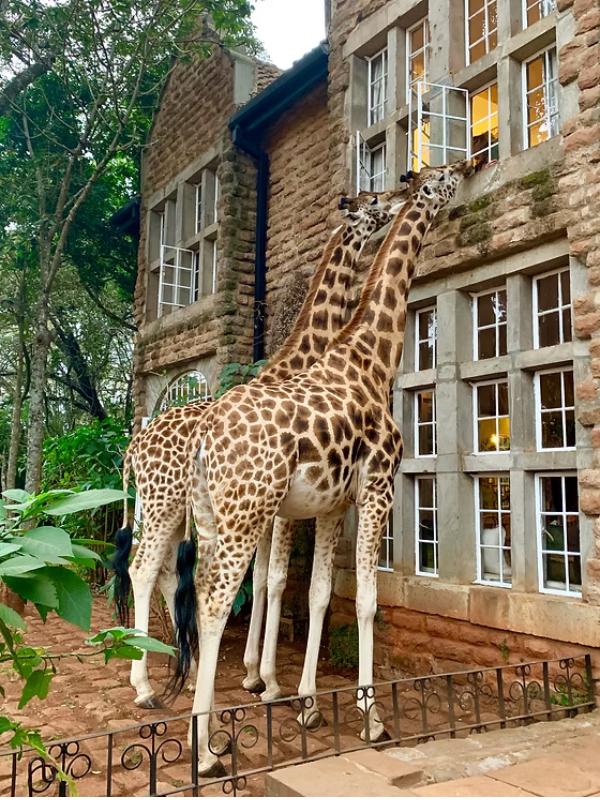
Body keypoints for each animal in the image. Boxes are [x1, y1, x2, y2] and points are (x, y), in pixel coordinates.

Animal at [113, 190, 406, 709]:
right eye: (373, 203)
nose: (396, 197)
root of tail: (134, 447)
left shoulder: (271, 510)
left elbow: (266, 577)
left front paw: (253, 673)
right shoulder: (279, 508)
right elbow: (273, 578)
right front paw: (266, 680)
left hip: (168, 506)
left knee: (165, 570)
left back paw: (182, 669)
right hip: (168, 502)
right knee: (146, 568)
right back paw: (148, 684)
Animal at [173, 160, 474, 775]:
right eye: (443, 178)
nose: (472, 163)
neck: (371, 355)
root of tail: (205, 439)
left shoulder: (332, 504)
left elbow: (315, 594)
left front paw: (305, 700)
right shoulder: (376, 488)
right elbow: (361, 599)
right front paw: (369, 715)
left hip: (215, 518)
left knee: (187, 583)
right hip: (245, 514)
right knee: (213, 600)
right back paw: (206, 750)